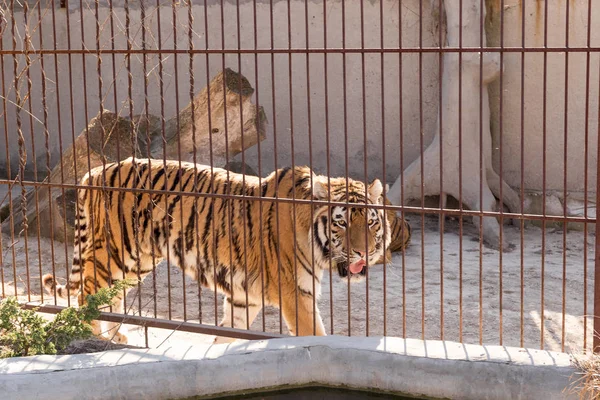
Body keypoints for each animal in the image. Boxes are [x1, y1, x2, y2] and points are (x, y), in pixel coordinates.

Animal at [42, 158, 408, 342]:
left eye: (371, 223)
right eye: (342, 223)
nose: (363, 253)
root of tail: (91, 173)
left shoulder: (244, 298)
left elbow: (228, 336)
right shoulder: (297, 294)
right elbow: (316, 336)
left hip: (137, 262)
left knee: (110, 296)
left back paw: (116, 338)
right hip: (115, 254)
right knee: (86, 294)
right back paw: (95, 340)